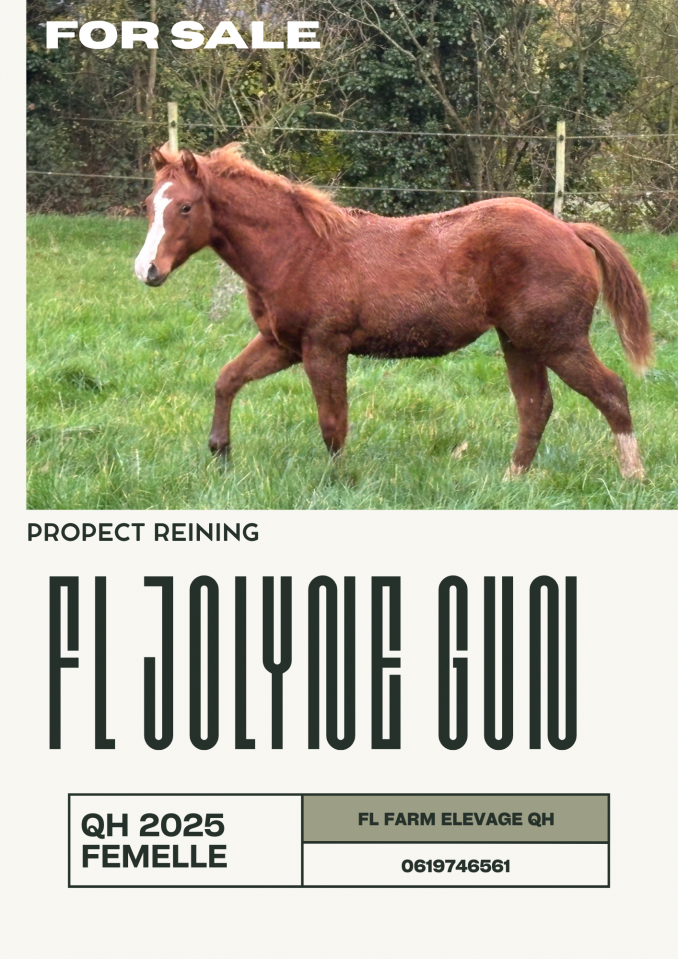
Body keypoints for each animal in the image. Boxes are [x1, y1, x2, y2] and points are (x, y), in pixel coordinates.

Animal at [134, 143, 653, 480]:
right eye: (148, 204)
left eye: (185, 207)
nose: (147, 270)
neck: (298, 250)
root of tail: (570, 230)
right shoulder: (281, 345)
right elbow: (226, 380)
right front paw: (220, 454)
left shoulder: (324, 347)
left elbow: (332, 424)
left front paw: (339, 483)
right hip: (519, 341)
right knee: (535, 406)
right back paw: (512, 480)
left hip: (557, 341)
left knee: (610, 392)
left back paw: (634, 477)